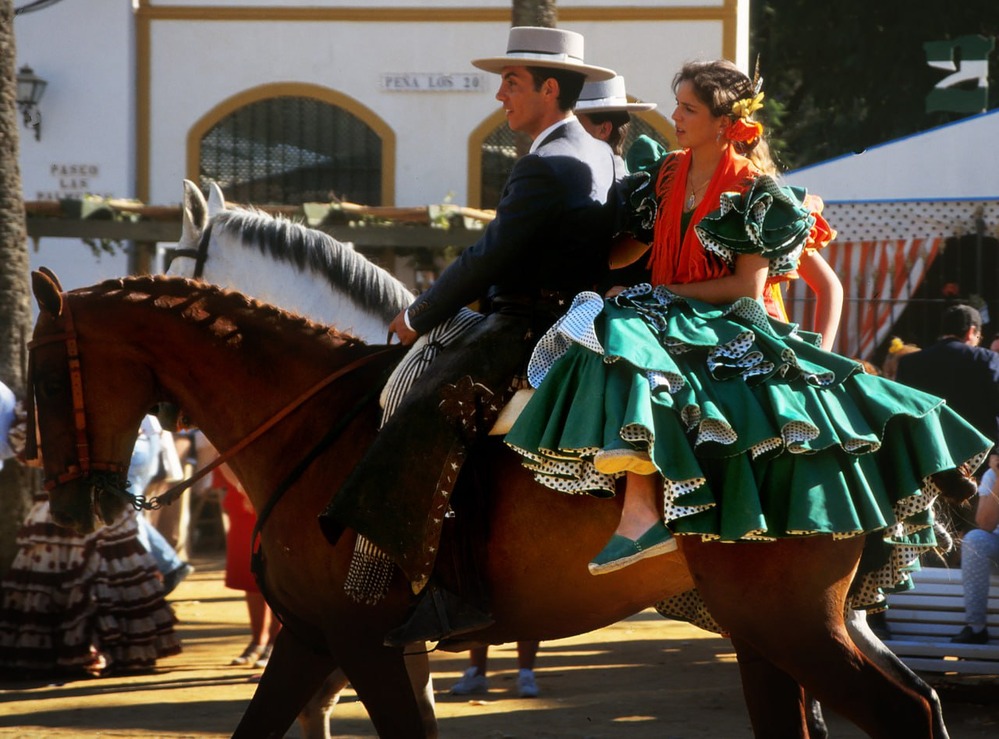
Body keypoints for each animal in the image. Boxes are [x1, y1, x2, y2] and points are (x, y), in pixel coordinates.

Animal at [25, 272, 944, 739]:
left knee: (902, 713)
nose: (65, 509)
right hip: (777, 628)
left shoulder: (358, 639)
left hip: (789, 622)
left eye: (41, 376)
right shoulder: (316, 636)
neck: (312, 426)